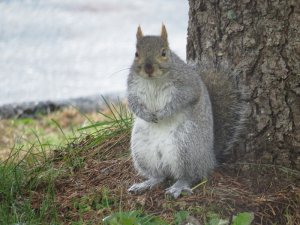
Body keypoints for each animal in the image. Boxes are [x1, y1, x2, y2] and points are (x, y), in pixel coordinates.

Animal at [126, 23, 246, 198]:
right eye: (136, 54)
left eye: (164, 53)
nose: (148, 68)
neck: (153, 80)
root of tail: (210, 158)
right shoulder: (132, 87)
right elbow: (132, 103)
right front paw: (145, 115)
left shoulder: (188, 86)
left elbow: (182, 100)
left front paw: (164, 113)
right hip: (142, 150)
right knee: (160, 175)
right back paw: (147, 183)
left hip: (185, 148)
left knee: (190, 175)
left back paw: (178, 187)